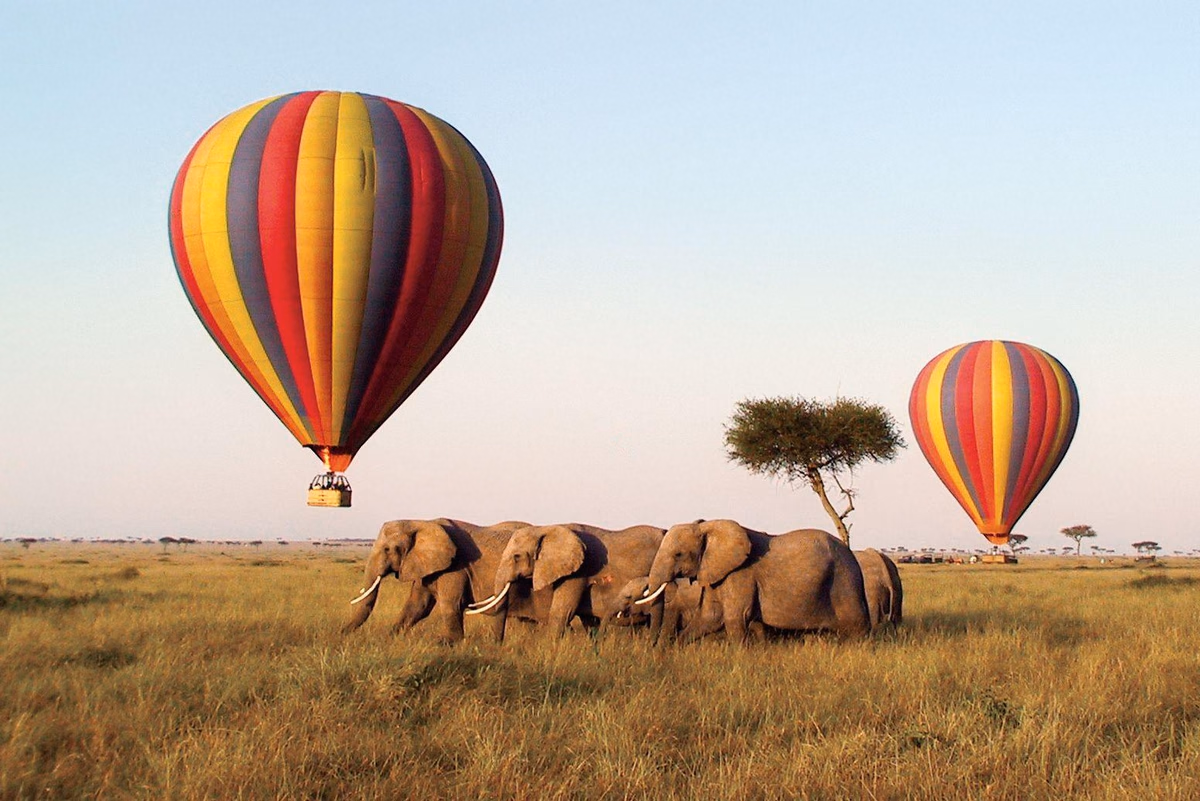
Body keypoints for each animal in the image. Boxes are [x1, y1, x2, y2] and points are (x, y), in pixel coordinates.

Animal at [342, 519, 535, 642]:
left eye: (388, 549)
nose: (341, 634)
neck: (420, 522)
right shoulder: (425, 566)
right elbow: (417, 606)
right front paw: (389, 639)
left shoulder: (455, 566)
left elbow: (452, 605)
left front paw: (449, 644)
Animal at [466, 523, 665, 638]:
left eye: (516, 557)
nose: (498, 646)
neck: (545, 529)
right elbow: (586, 619)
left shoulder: (579, 571)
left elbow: (562, 612)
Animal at [635, 519, 871, 643]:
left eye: (678, 554)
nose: (651, 646)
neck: (709, 526)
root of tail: (852, 555)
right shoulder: (715, 572)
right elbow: (709, 617)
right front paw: (676, 647)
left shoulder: (740, 574)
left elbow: (734, 618)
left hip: (843, 581)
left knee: (856, 628)